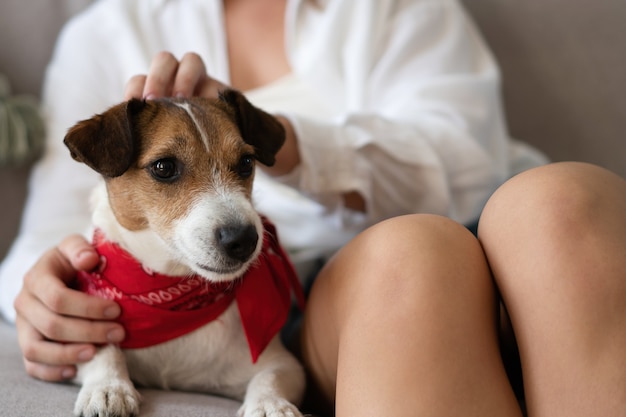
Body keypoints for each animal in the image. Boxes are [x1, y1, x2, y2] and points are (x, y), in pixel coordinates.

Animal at [62, 91, 304, 416]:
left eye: (246, 162)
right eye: (164, 167)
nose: (244, 239)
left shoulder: (284, 364)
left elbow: (270, 377)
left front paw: (269, 404)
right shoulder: (78, 335)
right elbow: (102, 349)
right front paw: (108, 386)